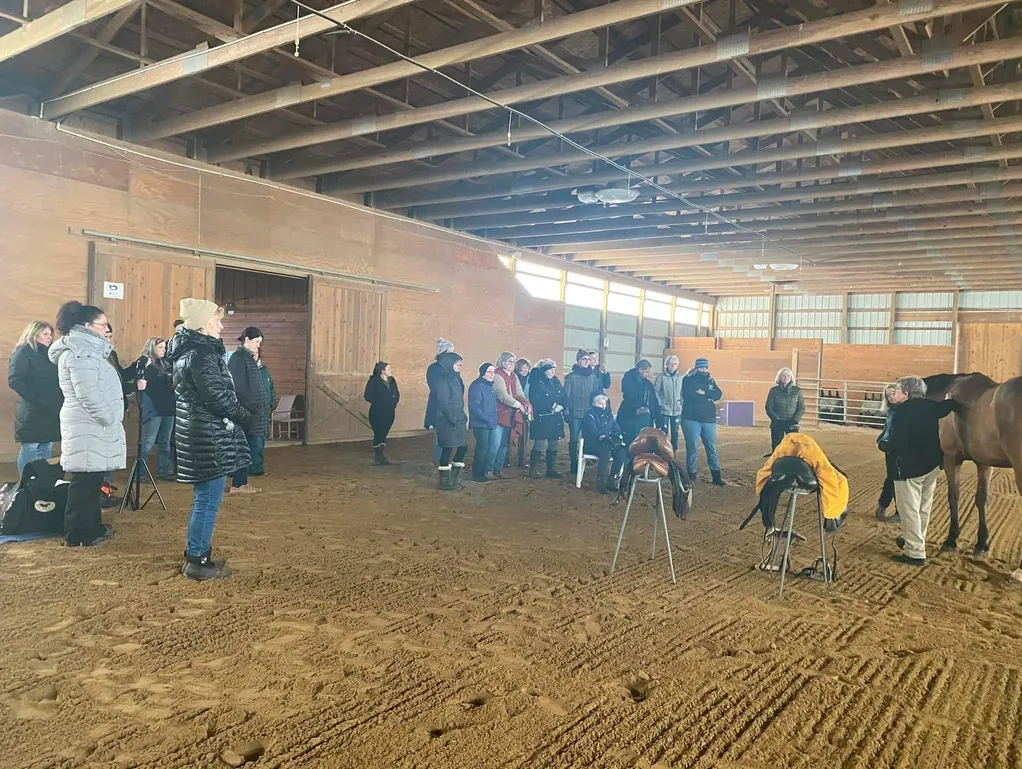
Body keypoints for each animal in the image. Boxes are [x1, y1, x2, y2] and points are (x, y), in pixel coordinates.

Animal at [923, 372, 1021, 576]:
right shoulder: (984, 463)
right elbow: (982, 499)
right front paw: (982, 543)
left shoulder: (952, 458)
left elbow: (953, 496)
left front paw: (951, 539)